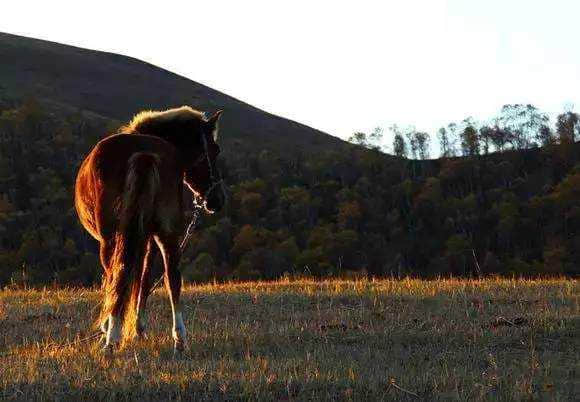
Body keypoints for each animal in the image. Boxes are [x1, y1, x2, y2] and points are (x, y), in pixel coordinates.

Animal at [75, 106, 224, 352]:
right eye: (215, 150)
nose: (217, 200)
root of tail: (144, 153)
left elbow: (122, 278)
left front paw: (118, 327)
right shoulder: (149, 239)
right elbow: (144, 279)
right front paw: (136, 329)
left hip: (110, 239)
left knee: (119, 273)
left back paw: (112, 337)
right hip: (167, 234)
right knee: (172, 276)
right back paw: (179, 338)